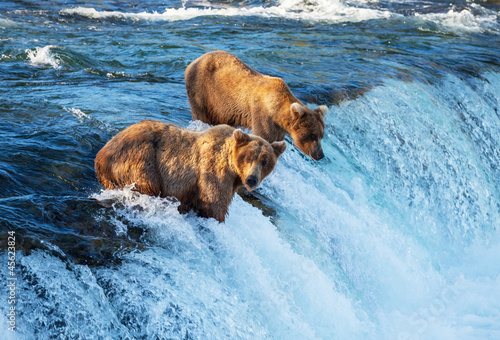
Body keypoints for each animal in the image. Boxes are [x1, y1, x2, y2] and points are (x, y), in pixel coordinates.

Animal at [94, 120, 286, 223]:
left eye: (265, 161)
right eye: (248, 158)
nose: (252, 179)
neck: (233, 171)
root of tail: (100, 155)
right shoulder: (213, 172)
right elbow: (214, 204)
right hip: (140, 160)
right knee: (146, 184)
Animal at [184, 50, 328, 161]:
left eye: (321, 135)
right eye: (313, 135)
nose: (320, 155)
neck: (277, 112)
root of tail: (192, 62)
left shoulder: (279, 129)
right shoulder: (263, 115)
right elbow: (263, 137)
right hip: (203, 90)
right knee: (201, 114)